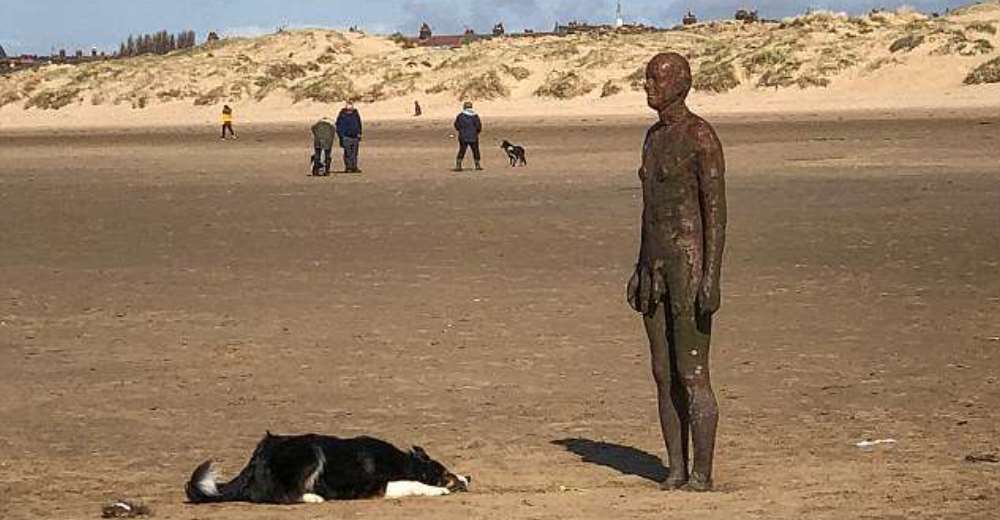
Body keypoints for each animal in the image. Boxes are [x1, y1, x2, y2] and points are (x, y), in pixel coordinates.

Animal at [187, 432, 472, 506]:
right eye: (445, 474)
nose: (469, 476)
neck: (404, 463)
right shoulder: (373, 485)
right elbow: (411, 483)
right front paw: (437, 491)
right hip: (309, 451)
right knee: (275, 495)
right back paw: (313, 497)